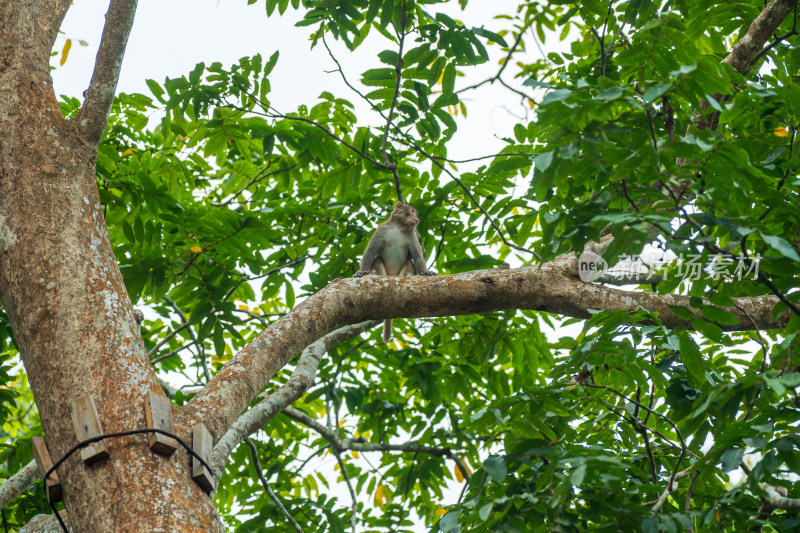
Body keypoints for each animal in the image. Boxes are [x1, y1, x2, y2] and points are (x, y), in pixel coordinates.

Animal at [354, 202, 434, 342]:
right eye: (412, 211)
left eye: (415, 213)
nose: (416, 217)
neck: (399, 227)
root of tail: (392, 276)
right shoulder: (382, 229)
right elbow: (370, 251)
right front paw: (361, 272)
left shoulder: (411, 234)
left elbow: (417, 256)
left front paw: (426, 273)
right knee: (378, 258)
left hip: (400, 275)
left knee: (409, 261)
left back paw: (409, 275)